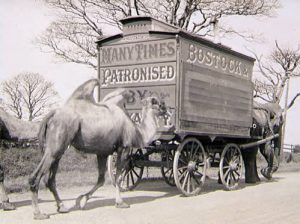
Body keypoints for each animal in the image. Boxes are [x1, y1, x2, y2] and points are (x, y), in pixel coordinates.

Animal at [29, 79, 165, 219]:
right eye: (157, 102)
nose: (165, 109)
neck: (137, 131)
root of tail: (52, 114)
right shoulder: (124, 147)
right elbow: (118, 177)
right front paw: (120, 202)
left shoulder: (102, 152)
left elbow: (101, 179)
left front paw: (81, 200)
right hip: (56, 146)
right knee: (35, 176)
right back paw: (38, 213)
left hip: (58, 150)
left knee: (50, 179)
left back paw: (62, 207)